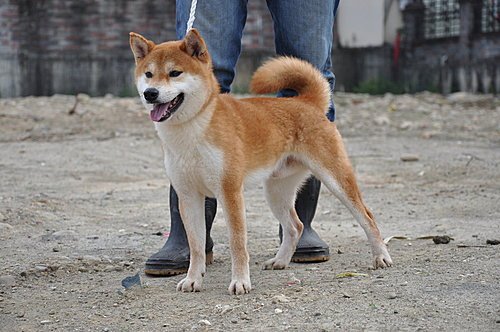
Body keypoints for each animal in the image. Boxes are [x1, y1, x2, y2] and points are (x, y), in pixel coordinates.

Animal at [130, 29, 394, 294]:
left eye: (175, 73)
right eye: (148, 74)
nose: (150, 93)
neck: (192, 129)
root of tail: (306, 102)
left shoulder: (230, 192)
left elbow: (237, 243)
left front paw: (240, 281)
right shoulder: (188, 195)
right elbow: (196, 245)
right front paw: (193, 279)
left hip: (336, 180)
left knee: (367, 217)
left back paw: (381, 256)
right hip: (276, 191)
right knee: (295, 226)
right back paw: (280, 260)